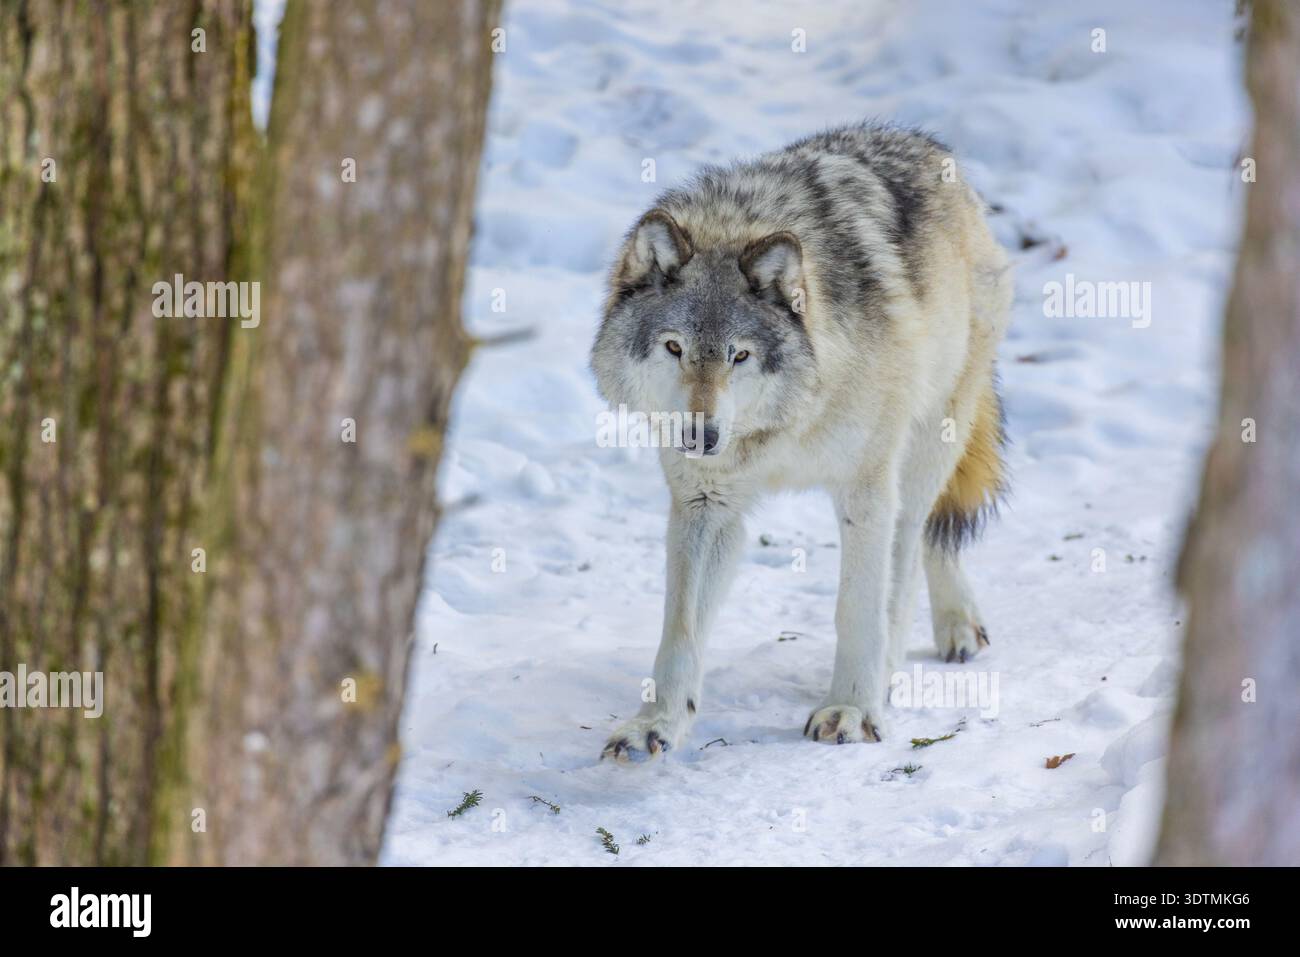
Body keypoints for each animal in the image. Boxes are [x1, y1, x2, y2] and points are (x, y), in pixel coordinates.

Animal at [590, 123, 1012, 760]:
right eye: (674, 347)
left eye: (740, 355)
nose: (702, 436)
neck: (785, 423)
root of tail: (922, 141)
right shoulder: (705, 503)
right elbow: (680, 630)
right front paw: (656, 723)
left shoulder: (867, 491)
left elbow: (858, 607)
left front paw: (854, 709)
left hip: (927, 444)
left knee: (915, 542)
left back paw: (920, 648)